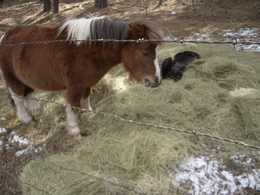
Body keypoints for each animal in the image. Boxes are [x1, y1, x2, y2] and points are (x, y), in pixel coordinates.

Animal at [0, 15, 165, 139]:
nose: (157, 80)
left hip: (24, 78)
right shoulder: (74, 86)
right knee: (18, 98)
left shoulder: (86, 83)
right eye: (145, 52)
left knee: (28, 93)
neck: (88, 50)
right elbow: (73, 106)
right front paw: (74, 131)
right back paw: (27, 118)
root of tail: (5, 36)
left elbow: (86, 97)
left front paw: (88, 112)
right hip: (12, 78)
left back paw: (36, 111)